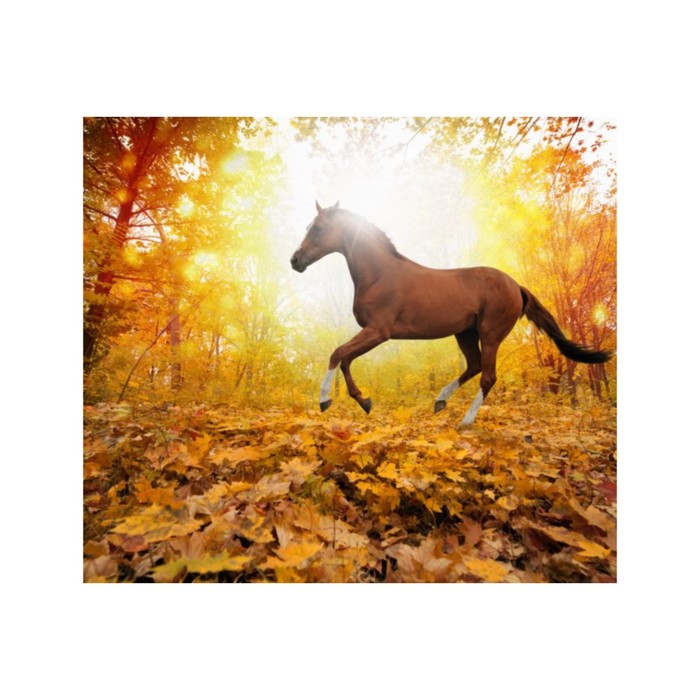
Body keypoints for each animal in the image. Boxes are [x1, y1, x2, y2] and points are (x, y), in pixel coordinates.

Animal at [291, 201, 613, 426]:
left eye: (318, 228)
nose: (295, 260)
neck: (380, 274)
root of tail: (516, 286)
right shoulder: (373, 333)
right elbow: (346, 359)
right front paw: (364, 401)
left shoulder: (378, 331)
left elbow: (337, 354)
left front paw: (325, 400)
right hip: (465, 333)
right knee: (474, 366)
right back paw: (440, 401)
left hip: (490, 333)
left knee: (488, 376)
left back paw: (465, 421)